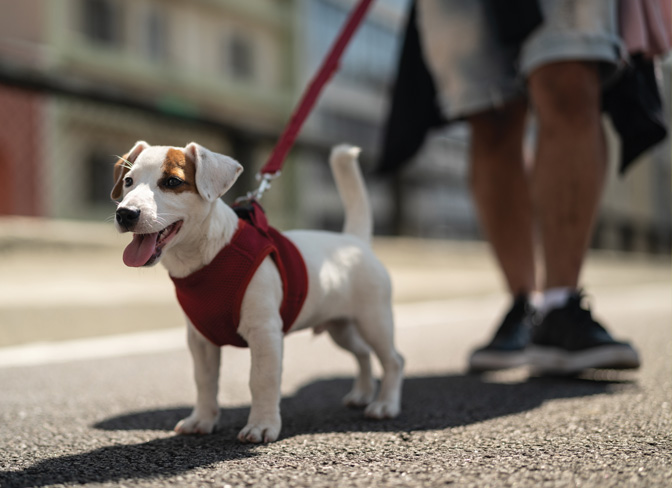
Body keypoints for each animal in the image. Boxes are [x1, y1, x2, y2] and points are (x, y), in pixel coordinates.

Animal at [111, 141, 404, 442]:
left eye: (172, 182)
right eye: (128, 181)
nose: (125, 213)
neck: (208, 257)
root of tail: (354, 241)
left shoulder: (265, 334)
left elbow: (261, 380)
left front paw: (262, 424)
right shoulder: (200, 340)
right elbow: (205, 381)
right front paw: (202, 419)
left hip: (374, 322)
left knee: (393, 360)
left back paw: (385, 404)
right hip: (341, 328)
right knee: (363, 354)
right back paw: (362, 394)